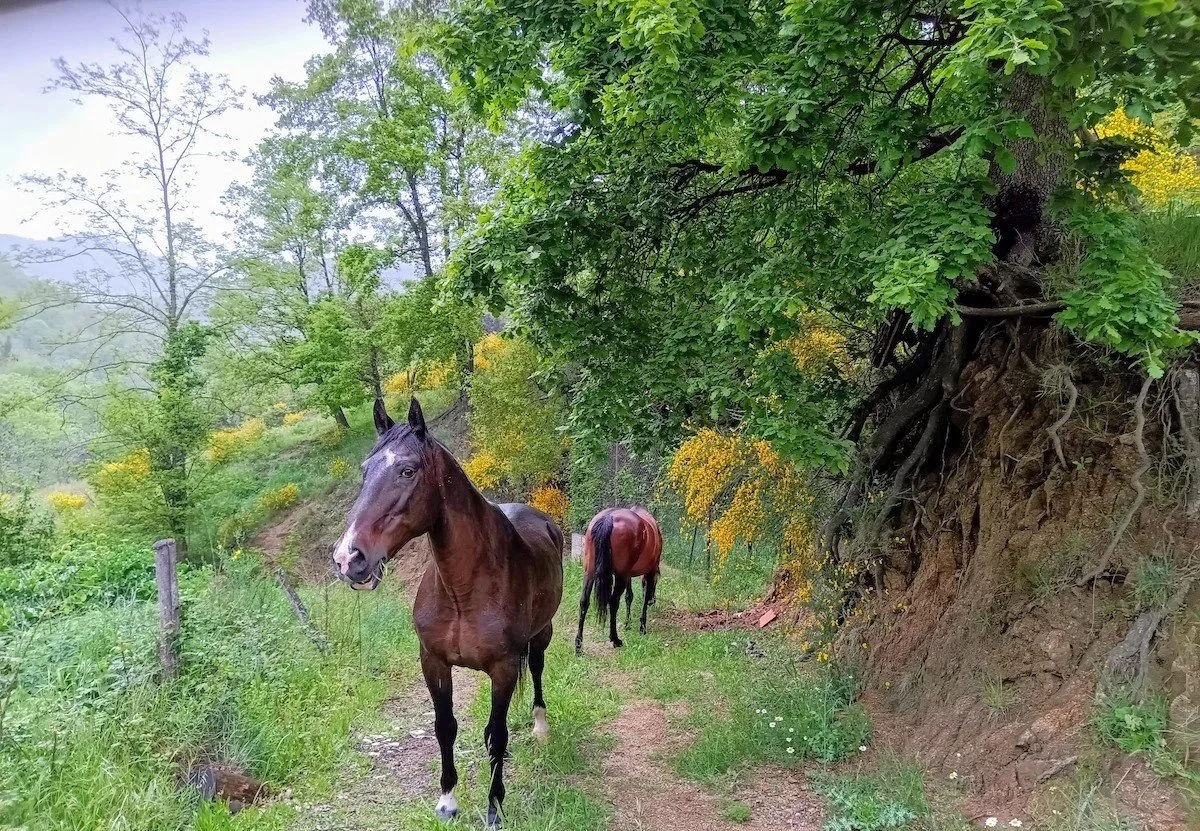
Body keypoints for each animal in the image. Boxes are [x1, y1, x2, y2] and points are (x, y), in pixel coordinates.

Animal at [331, 397, 564, 829]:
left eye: (407, 470)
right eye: (365, 470)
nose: (348, 558)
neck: (463, 590)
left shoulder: (504, 667)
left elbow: (497, 733)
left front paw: (494, 807)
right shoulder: (433, 662)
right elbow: (445, 727)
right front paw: (448, 800)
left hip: (542, 634)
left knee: (538, 670)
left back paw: (541, 728)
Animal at [574, 506, 663, 653]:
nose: (653, 601)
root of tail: (608, 518)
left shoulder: (628, 575)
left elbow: (629, 596)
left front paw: (628, 623)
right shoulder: (649, 572)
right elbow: (643, 598)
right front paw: (642, 627)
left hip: (590, 572)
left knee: (584, 602)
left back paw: (578, 646)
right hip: (620, 576)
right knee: (613, 602)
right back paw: (615, 639)